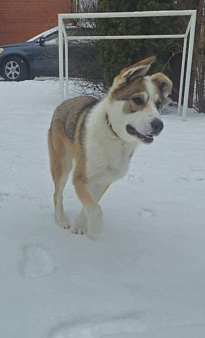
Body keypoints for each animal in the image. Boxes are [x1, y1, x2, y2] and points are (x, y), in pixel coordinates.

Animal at [47, 56, 171, 240]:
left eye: (158, 104)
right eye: (137, 100)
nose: (159, 125)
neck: (114, 137)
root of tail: (65, 102)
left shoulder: (104, 180)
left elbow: (90, 204)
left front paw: (81, 226)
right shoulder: (80, 177)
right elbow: (95, 209)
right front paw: (95, 230)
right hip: (62, 163)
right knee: (57, 193)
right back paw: (61, 219)